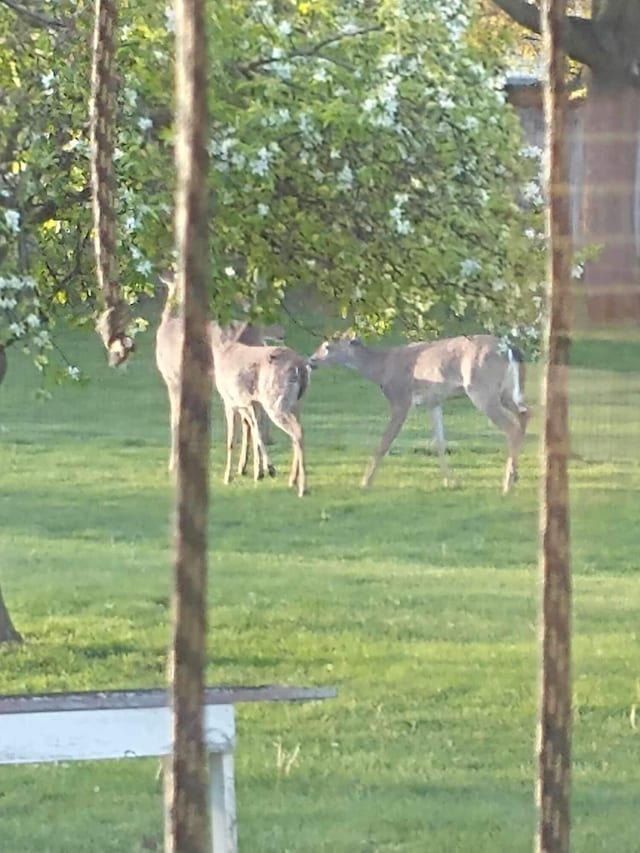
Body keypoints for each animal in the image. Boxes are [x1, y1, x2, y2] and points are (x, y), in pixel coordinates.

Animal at [154, 272, 284, 476]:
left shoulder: (172, 377)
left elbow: (175, 417)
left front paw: (173, 464)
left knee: (252, 414)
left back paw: (256, 467)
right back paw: (251, 466)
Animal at [308, 332, 528, 492]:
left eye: (328, 346)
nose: (311, 360)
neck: (382, 368)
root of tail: (509, 348)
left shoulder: (400, 399)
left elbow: (384, 443)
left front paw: (365, 482)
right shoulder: (434, 402)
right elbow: (440, 443)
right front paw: (451, 482)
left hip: (481, 388)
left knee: (511, 427)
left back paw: (507, 484)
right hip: (506, 391)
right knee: (525, 414)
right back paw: (515, 475)